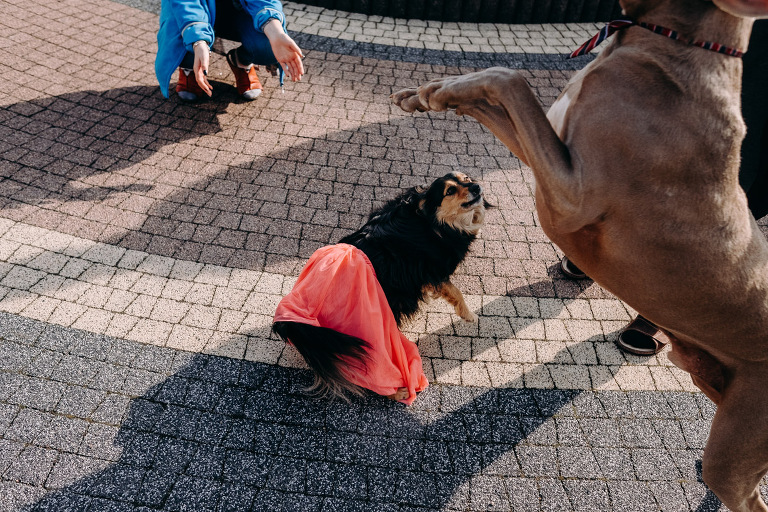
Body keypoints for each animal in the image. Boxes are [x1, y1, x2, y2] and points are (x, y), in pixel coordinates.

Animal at [272, 172, 488, 400]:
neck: (429, 221)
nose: (476, 187)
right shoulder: (434, 271)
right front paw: (469, 315)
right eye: (450, 191)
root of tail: (293, 322)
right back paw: (397, 391)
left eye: (466, 178)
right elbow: (456, 291)